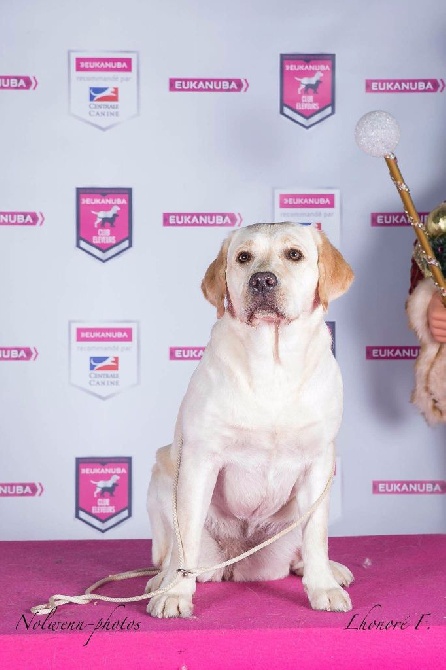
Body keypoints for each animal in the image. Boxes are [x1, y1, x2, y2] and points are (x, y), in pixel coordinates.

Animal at [148, 224, 354, 620]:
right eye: (243, 257)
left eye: (294, 255)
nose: (262, 280)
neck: (273, 363)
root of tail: (236, 560)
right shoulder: (200, 460)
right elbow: (186, 539)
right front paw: (176, 593)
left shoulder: (319, 462)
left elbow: (316, 536)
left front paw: (323, 586)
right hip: (162, 476)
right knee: (171, 550)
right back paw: (160, 580)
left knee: (303, 548)